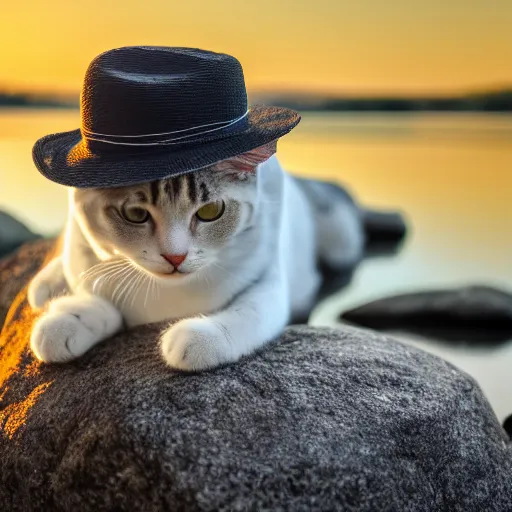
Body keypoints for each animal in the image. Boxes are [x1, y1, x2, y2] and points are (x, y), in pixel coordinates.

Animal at [28, 142, 364, 370]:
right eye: (135, 214)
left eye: (211, 211)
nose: (175, 257)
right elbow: (103, 300)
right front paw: (67, 321)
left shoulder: (268, 280)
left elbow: (249, 313)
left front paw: (200, 338)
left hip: (341, 239)